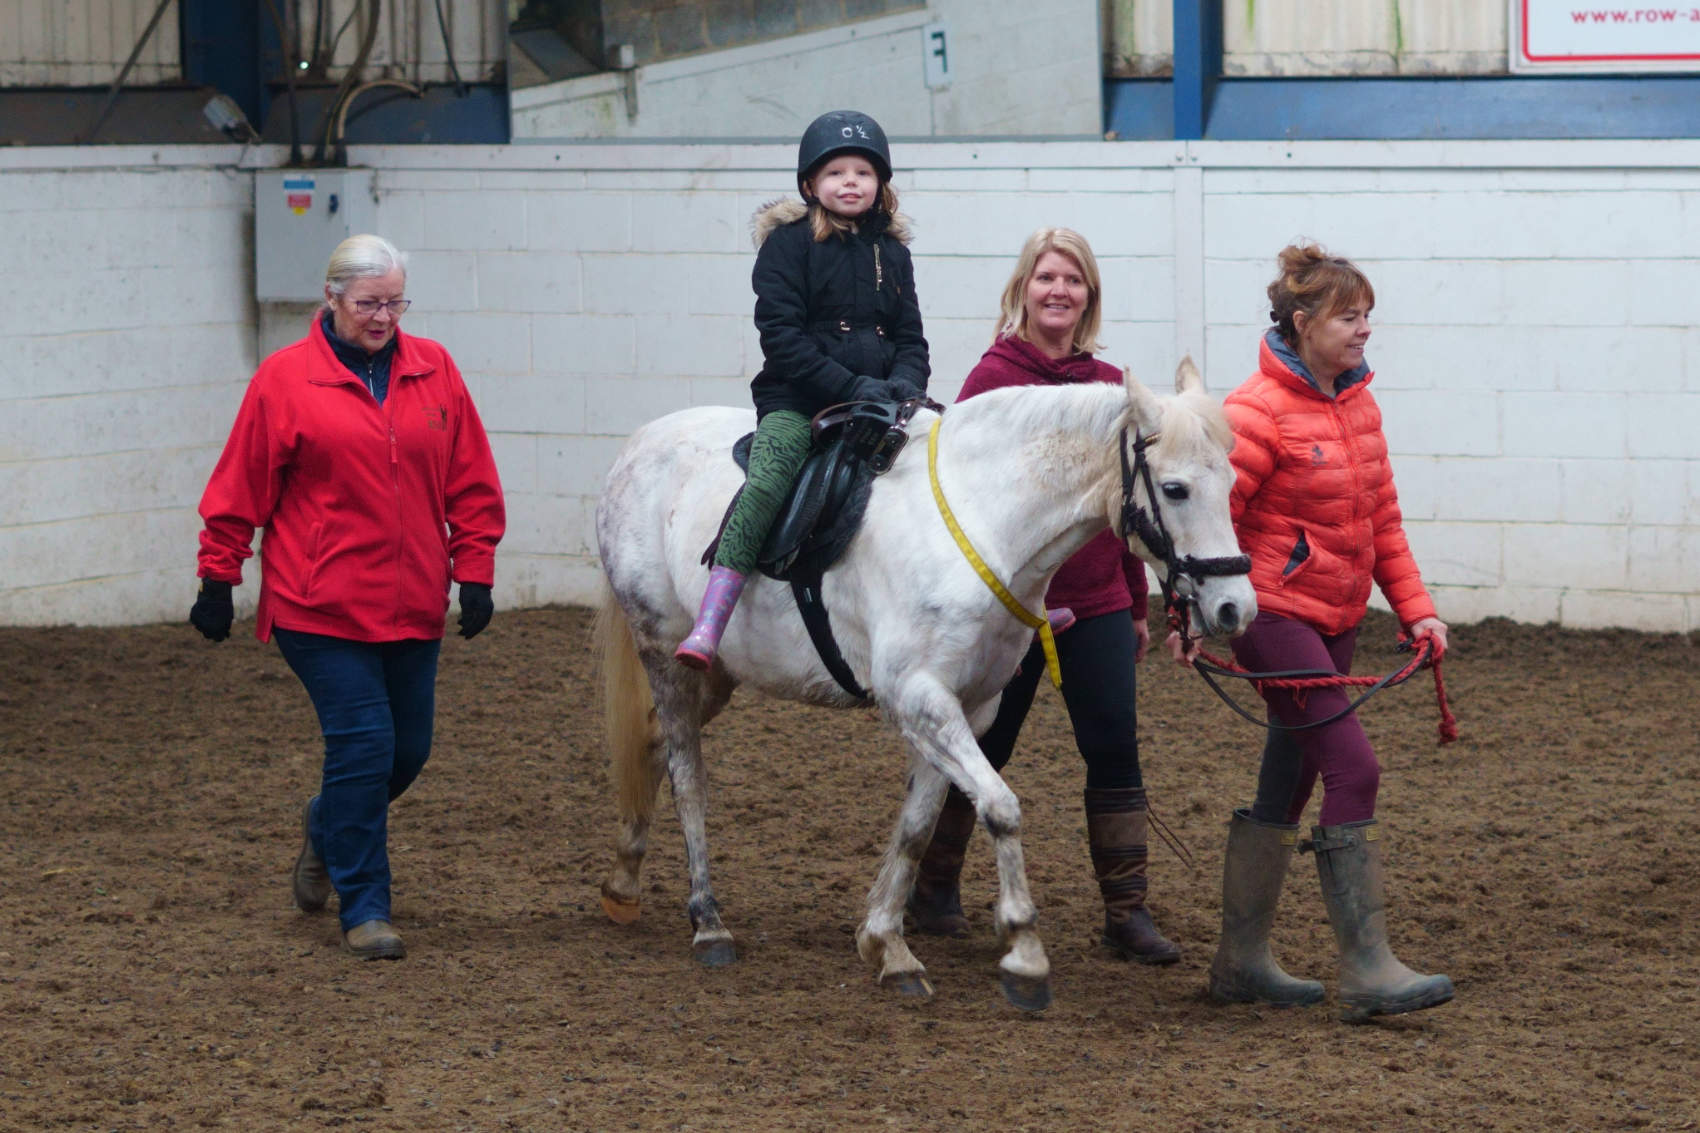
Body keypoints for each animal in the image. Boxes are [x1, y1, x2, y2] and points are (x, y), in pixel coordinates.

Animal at [595, 358, 1251, 1007]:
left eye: (1230, 484)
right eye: (1175, 489)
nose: (1234, 608)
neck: (983, 523)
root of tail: (638, 446)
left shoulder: (967, 707)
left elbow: (918, 826)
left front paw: (889, 946)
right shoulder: (918, 699)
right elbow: (1000, 807)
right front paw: (1024, 952)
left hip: (716, 676)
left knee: (651, 745)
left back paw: (623, 883)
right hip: (665, 656)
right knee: (687, 776)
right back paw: (708, 922)